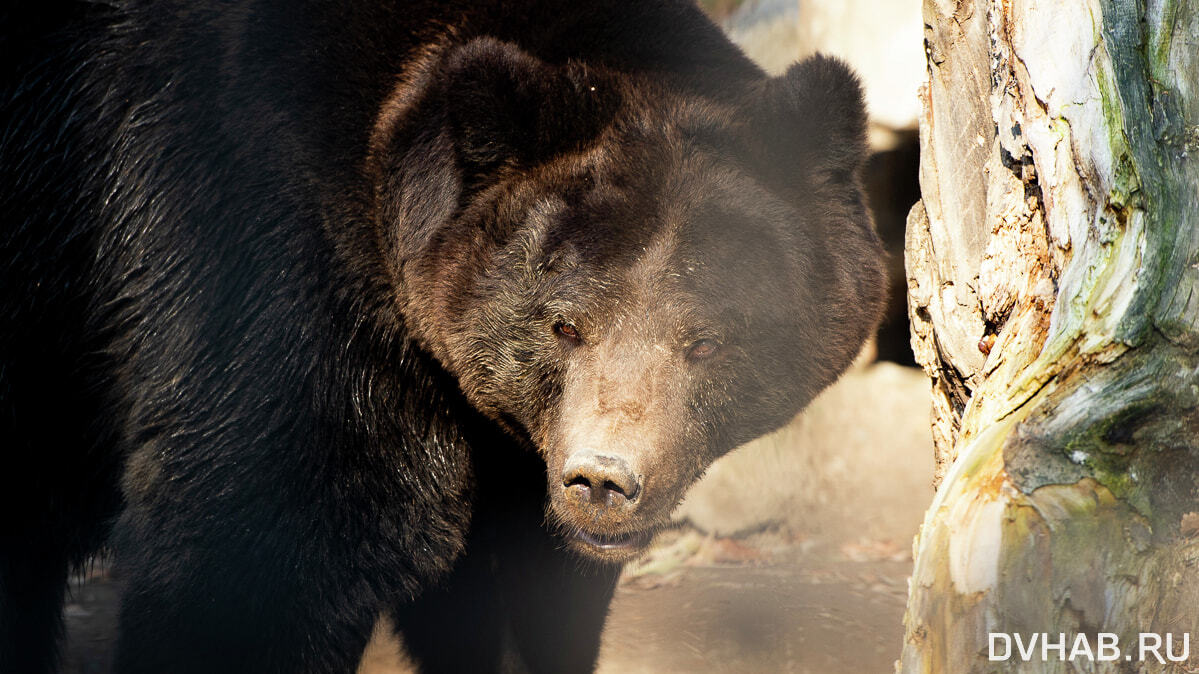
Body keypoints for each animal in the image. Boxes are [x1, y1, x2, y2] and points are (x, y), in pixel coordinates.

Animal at [0, 1, 882, 671]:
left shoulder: (505, 457)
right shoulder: (256, 265)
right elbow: (258, 548)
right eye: (565, 324)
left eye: (702, 340)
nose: (601, 481)